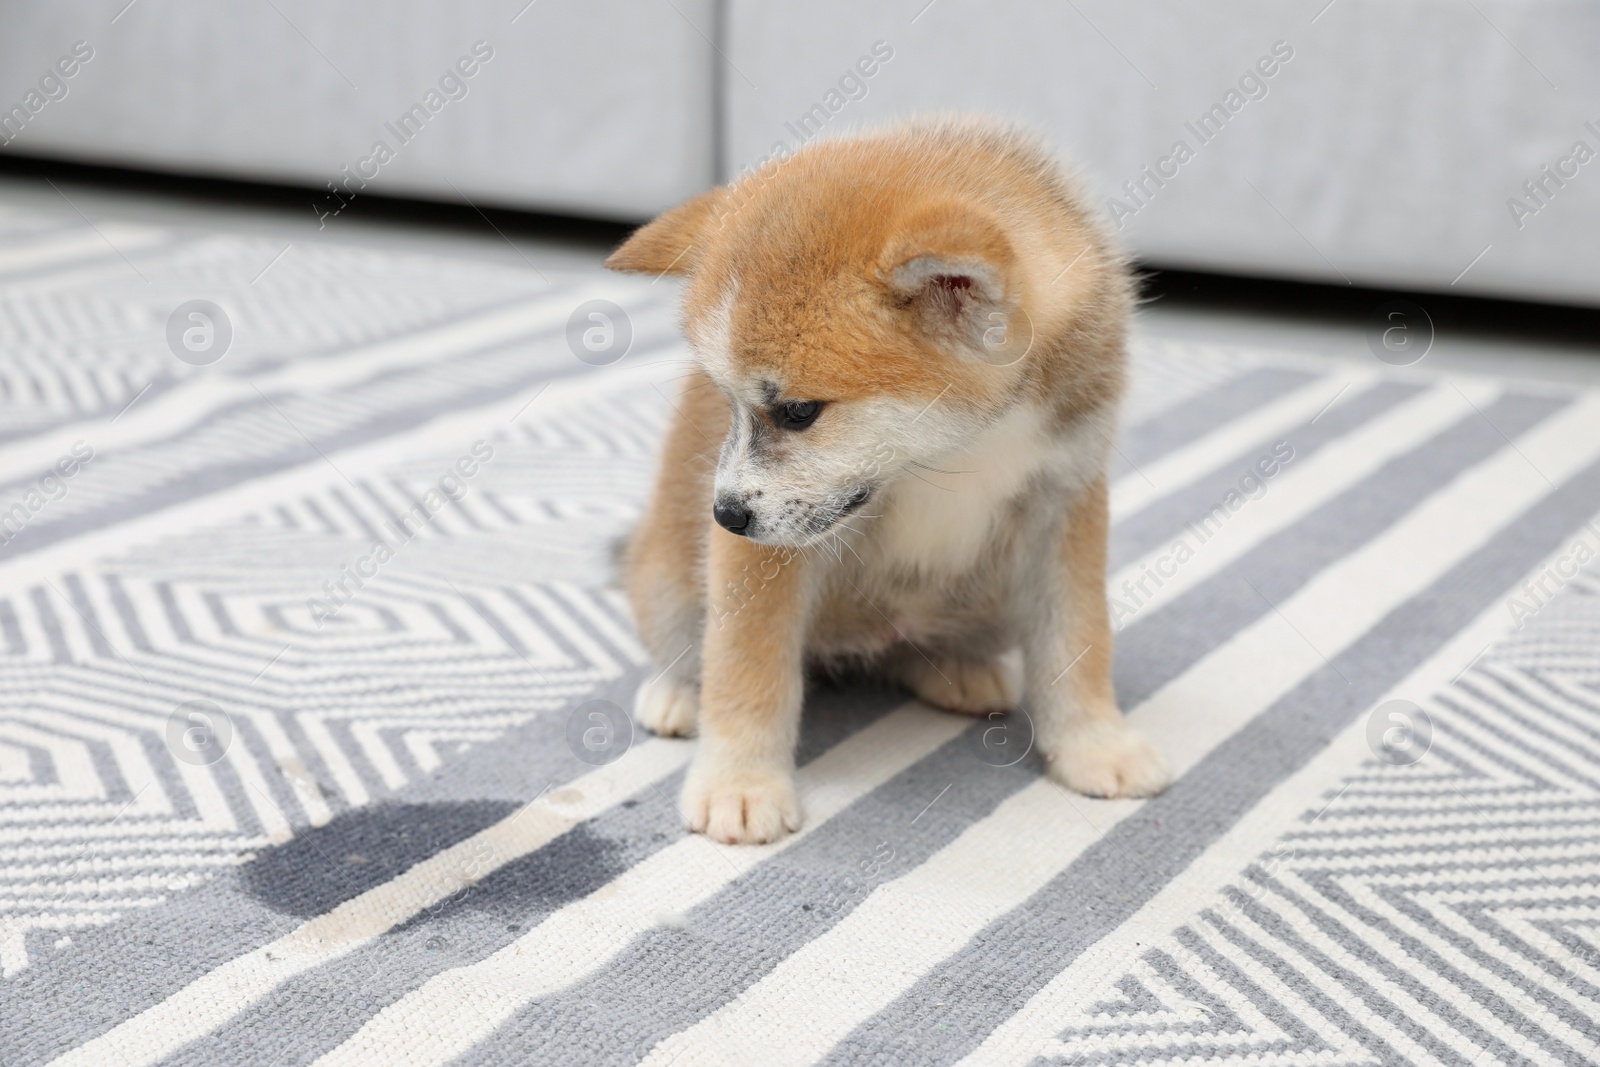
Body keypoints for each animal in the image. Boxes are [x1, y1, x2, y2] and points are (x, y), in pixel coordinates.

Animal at [604, 120, 1171, 844]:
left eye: (799, 411)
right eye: (725, 400)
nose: (724, 515)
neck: (962, 445)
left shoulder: (1065, 500)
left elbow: (1078, 637)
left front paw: (1095, 742)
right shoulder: (765, 556)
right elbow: (744, 660)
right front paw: (739, 780)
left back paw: (956, 668)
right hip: (670, 577)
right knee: (683, 636)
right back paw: (676, 692)